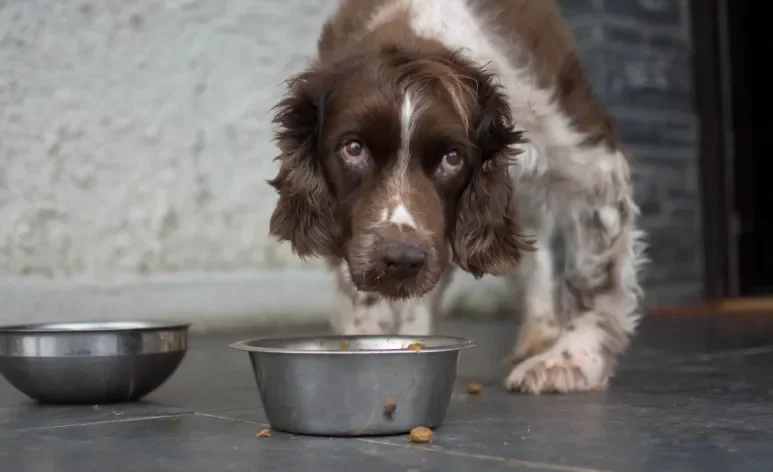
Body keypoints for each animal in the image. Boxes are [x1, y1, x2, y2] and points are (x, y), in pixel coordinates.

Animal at [266, 0, 644, 394]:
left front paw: (572, 358)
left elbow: (593, 275)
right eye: (353, 149)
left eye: (452, 158)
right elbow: (366, 291)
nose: (402, 258)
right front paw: (365, 339)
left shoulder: (588, 159)